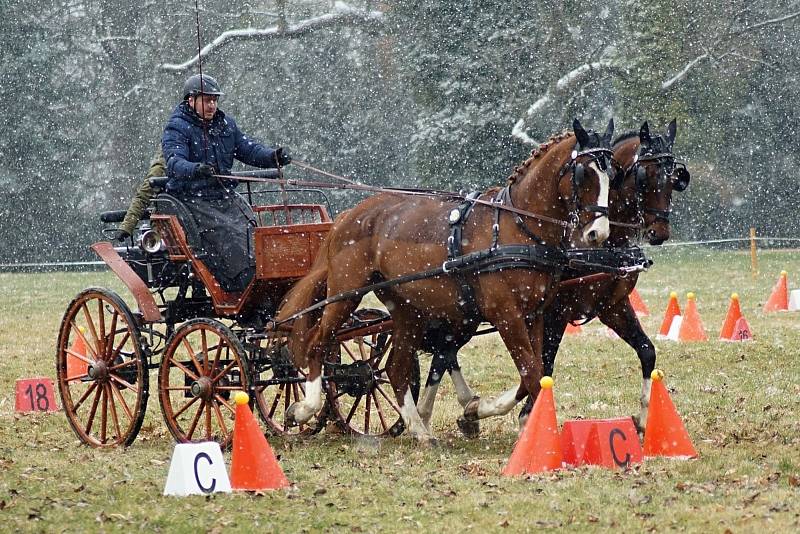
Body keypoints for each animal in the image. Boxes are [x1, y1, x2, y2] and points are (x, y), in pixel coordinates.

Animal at [278, 120, 616, 444]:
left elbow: (535, 373)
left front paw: (478, 410)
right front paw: (532, 432)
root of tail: (347, 216)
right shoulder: (507, 316)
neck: (516, 227)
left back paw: (420, 431)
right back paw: (304, 409)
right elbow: (532, 372)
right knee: (316, 343)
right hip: (345, 294)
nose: (597, 234)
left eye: (611, 173)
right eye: (584, 173)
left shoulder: (534, 315)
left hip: (406, 309)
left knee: (396, 367)